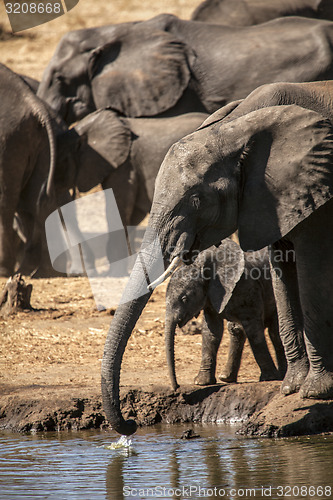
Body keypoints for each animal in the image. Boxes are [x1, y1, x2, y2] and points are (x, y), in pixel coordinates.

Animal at [164, 238, 286, 390]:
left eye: (184, 299)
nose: (177, 386)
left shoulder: (247, 288)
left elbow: (254, 331)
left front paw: (269, 378)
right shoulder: (211, 297)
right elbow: (211, 332)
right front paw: (202, 382)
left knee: (274, 333)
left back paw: (281, 375)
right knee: (236, 330)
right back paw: (226, 378)